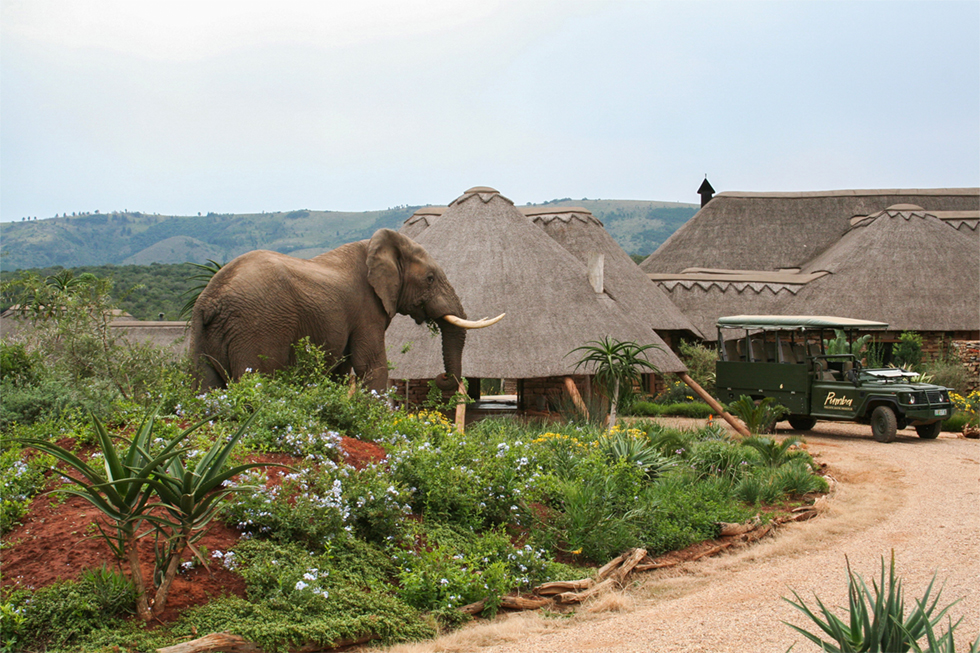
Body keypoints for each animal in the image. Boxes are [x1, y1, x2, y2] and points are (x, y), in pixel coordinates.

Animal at [189, 228, 506, 390]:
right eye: (429, 278)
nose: (441, 378)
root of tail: (211, 301)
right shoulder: (366, 308)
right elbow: (371, 365)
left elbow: (341, 371)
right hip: (258, 326)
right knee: (258, 379)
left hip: (202, 335)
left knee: (204, 385)